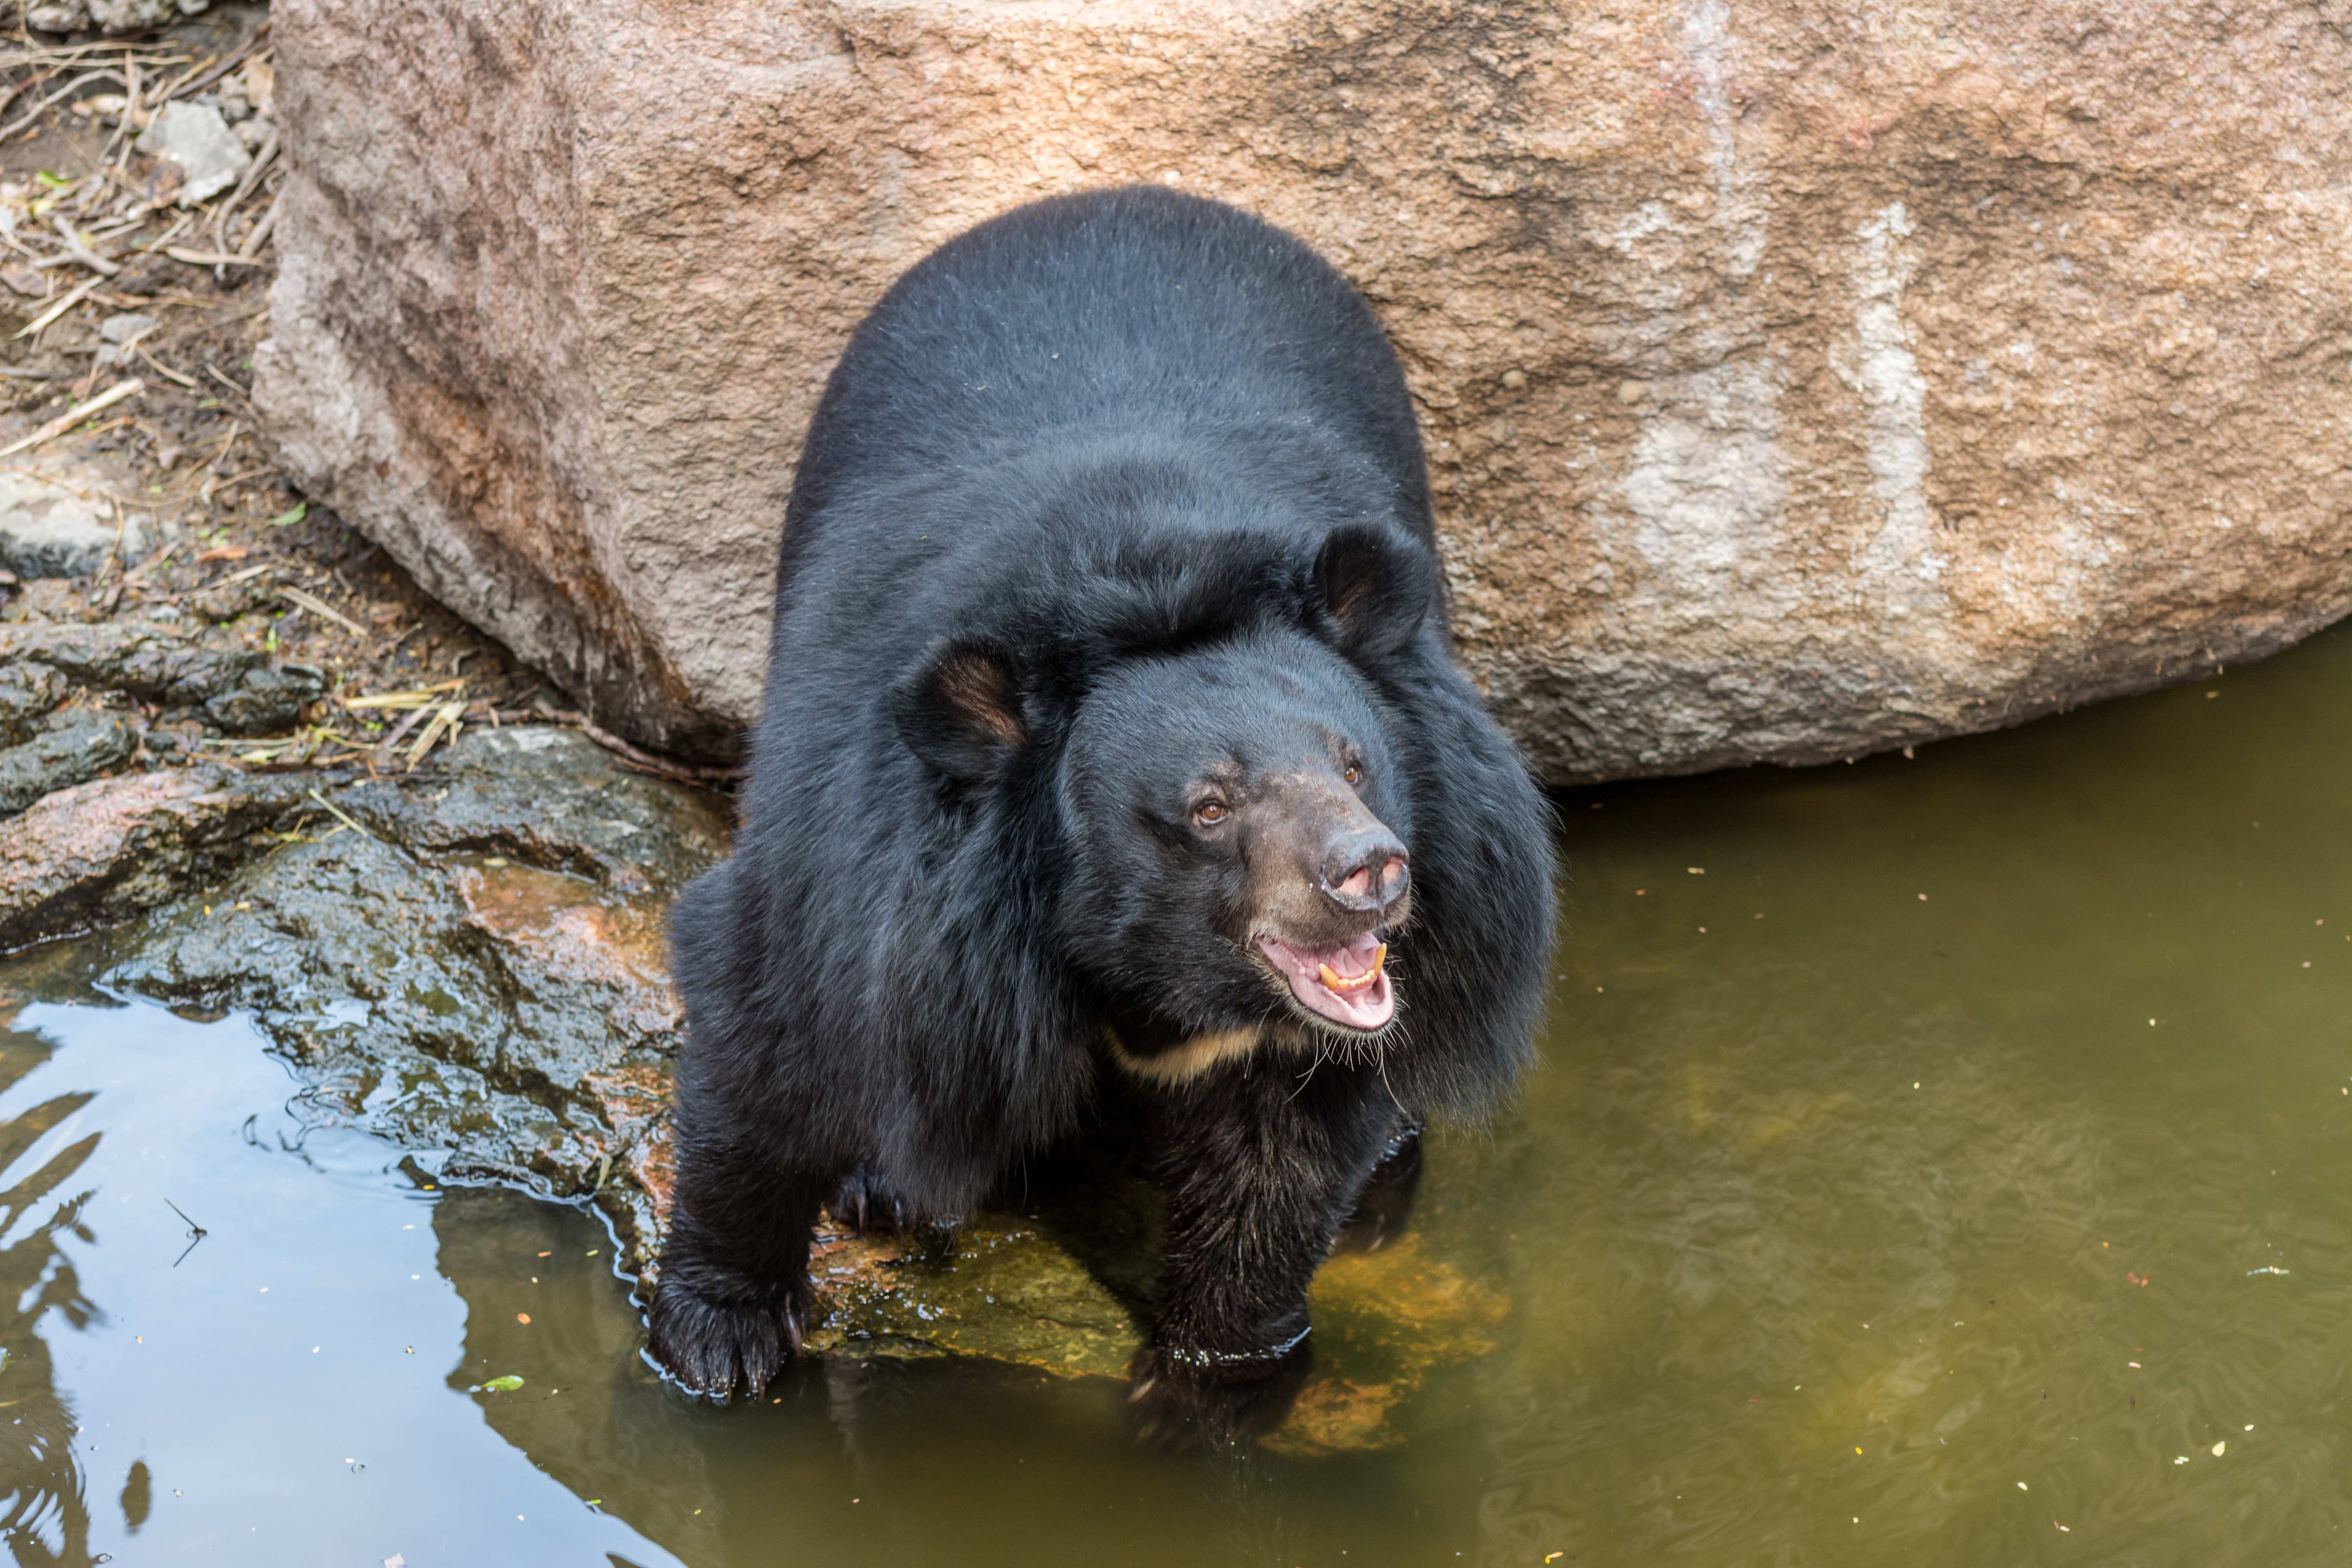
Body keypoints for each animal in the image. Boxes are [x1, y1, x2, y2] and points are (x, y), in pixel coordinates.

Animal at [654, 184, 1552, 1420]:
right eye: (1211, 807)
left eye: (1356, 764)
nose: (1370, 873)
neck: (1150, 969)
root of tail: (1113, 195)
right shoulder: (874, 878)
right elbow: (771, 1019)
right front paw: (718, 1336)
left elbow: (1276, 1173)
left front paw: (1209, 1378)